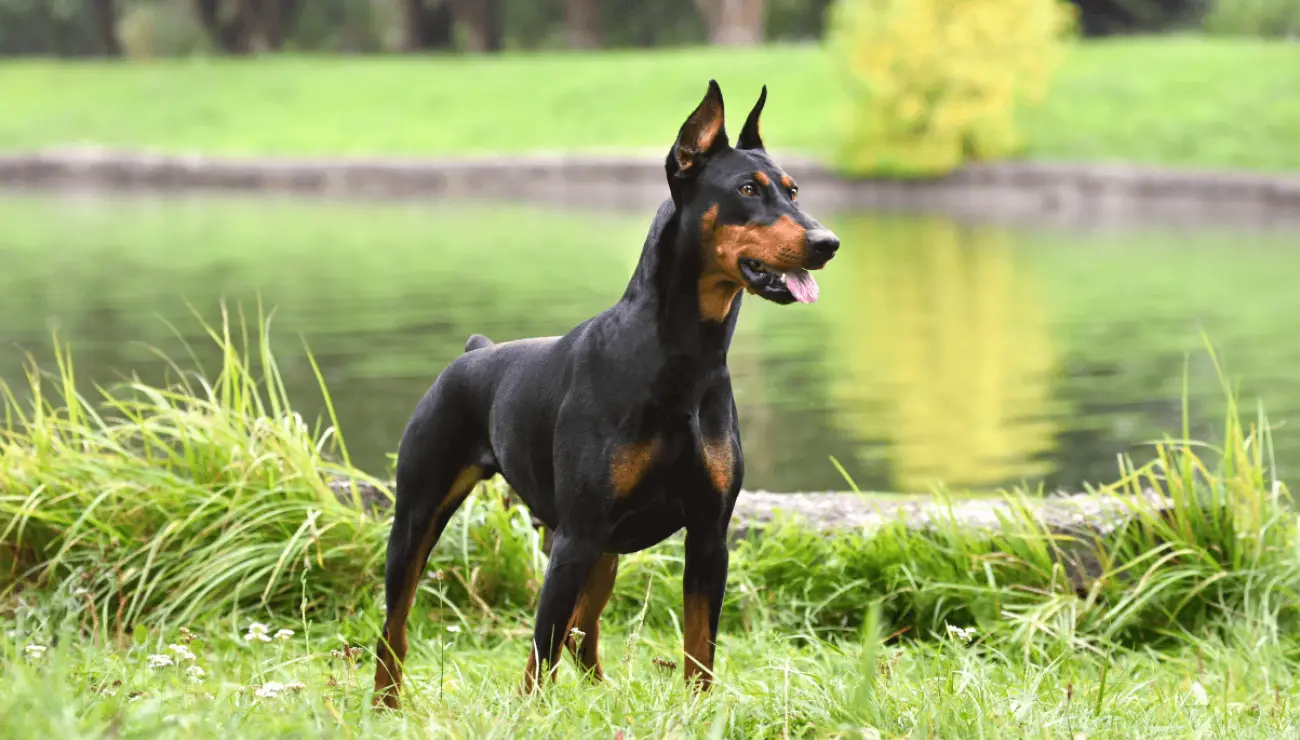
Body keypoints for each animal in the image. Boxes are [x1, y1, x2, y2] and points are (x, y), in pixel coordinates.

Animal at [377, 78, 842, 707]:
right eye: (747, 189)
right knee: (396, 628)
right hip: (422, 517)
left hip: (602, 551)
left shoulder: (709, 533)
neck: (684, 357)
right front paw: (530, 716)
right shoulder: (577, 535)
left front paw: (699, 712)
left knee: (582, 632)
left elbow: (699, 648)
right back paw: (385, 704)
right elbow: (540, 650)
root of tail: (474, 352)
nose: (828, 242)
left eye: (794, 190)